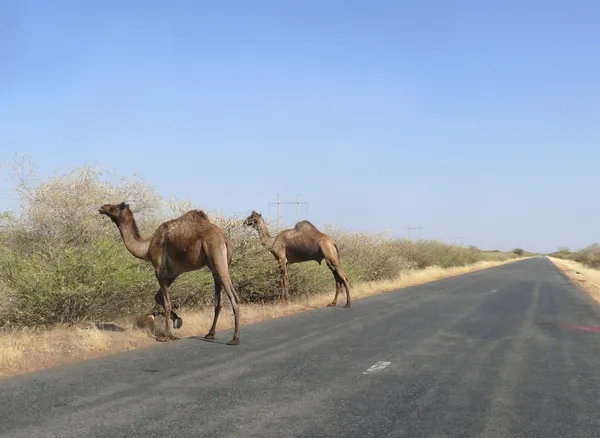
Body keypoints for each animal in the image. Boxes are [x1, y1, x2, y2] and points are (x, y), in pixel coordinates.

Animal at [99, 203, 241, 346]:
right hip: (214, 266)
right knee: (218, 300)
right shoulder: (173, 273)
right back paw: (210, 334)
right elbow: (158, 297)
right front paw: (177, 322)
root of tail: (226, 239)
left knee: (234, 297)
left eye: (115, 207)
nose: (102, 207)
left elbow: (167, 302)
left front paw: (165, 336)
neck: (147, 247)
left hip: (217, 254)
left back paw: (234, 339)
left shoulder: (159, 269)